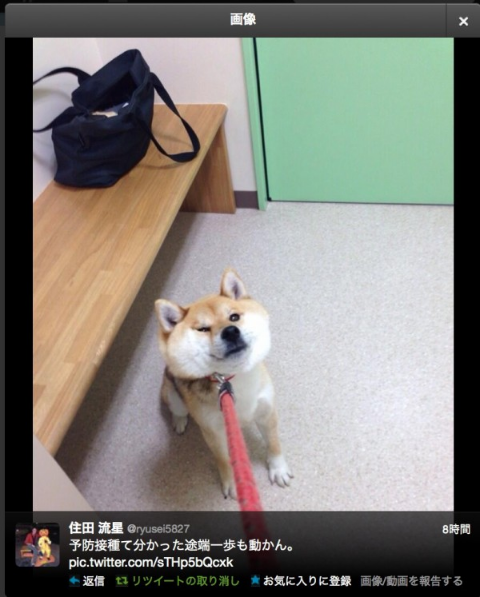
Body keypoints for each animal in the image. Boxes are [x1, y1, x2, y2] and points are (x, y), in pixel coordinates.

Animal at [155, 268, 292, 498]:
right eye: (203, 329)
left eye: (234, 317)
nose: (230, 331)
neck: (231, 378)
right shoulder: (214, 432)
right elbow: (223, 459)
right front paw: (233, 482)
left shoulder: (267, 412)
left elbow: (274, 444)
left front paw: (278, 468)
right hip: (172, 395)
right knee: (178, 409)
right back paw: (179, 421)